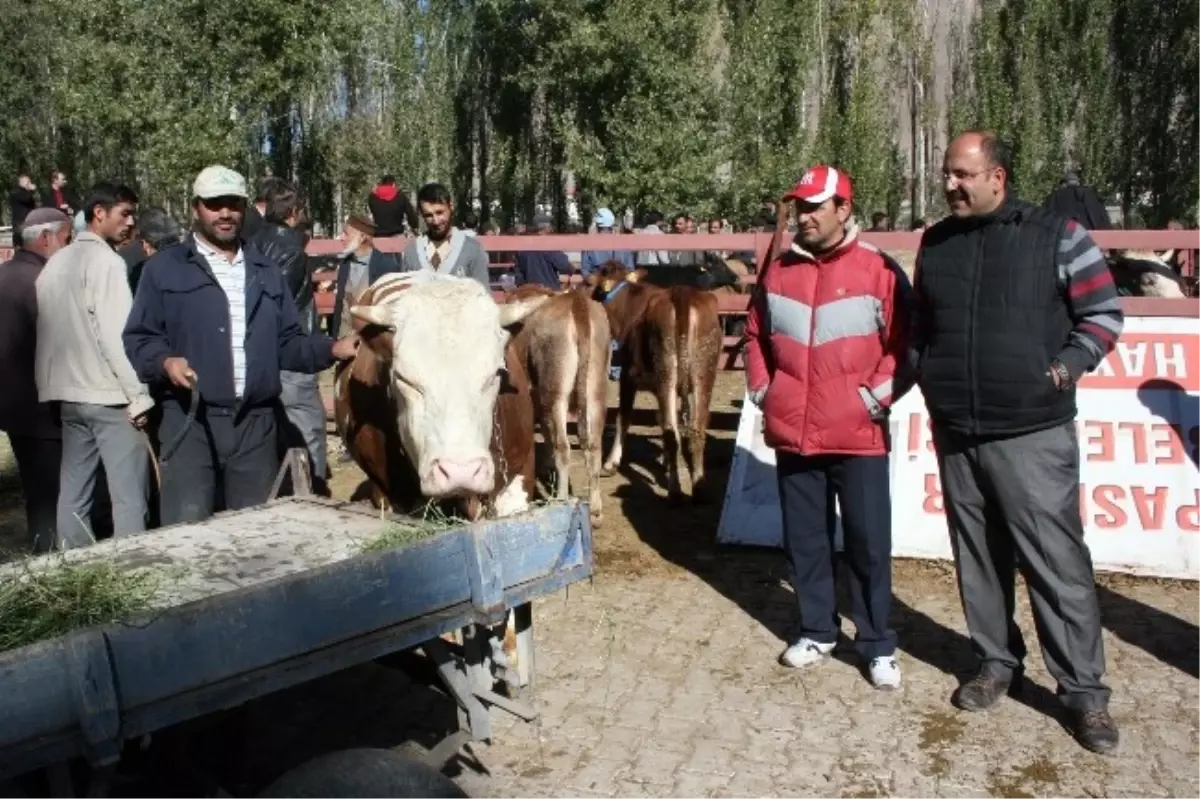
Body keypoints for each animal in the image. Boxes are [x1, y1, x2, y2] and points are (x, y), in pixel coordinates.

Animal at [585, 263, 715, 501]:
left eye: (588, 282)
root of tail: (681, 294)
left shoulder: (628, 375)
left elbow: (624, 417)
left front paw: (610, 463)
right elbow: (661, 417)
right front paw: (665, 463)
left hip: (667, 374)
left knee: (672, 434)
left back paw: (675, 491)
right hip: (703, 375)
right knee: (695, 430)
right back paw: (698, 487)